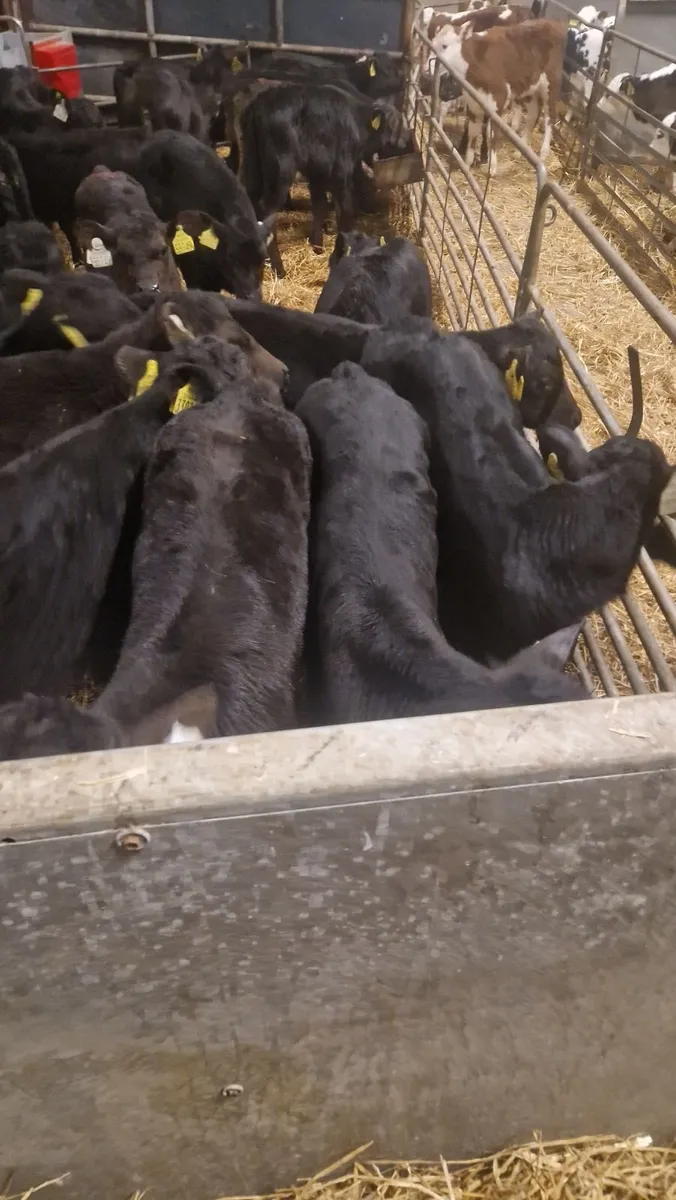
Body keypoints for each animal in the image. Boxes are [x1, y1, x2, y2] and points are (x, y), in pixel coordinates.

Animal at [240, 83, 412, 271]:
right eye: (394, 125)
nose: (407, 140)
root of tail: (259, 104)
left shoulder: (317, 172)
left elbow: (319, 205)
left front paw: (317, 246)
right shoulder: (340, 171)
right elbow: (344, 211)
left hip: (252, 165)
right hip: (279, 170)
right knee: (266, 211)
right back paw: (279, 269)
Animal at [431, 18, 566, 172]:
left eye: (444, 45)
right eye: (433, 42)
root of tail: (552, 22)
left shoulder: (499, 98)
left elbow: (492, 134)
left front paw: (492, 167)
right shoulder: (473, 102)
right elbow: (472, 133)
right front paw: (466, 163)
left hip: (551, 84)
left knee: (550, 117)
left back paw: (543, 154)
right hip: (530, 86)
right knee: (533, 114)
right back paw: (520, 151)